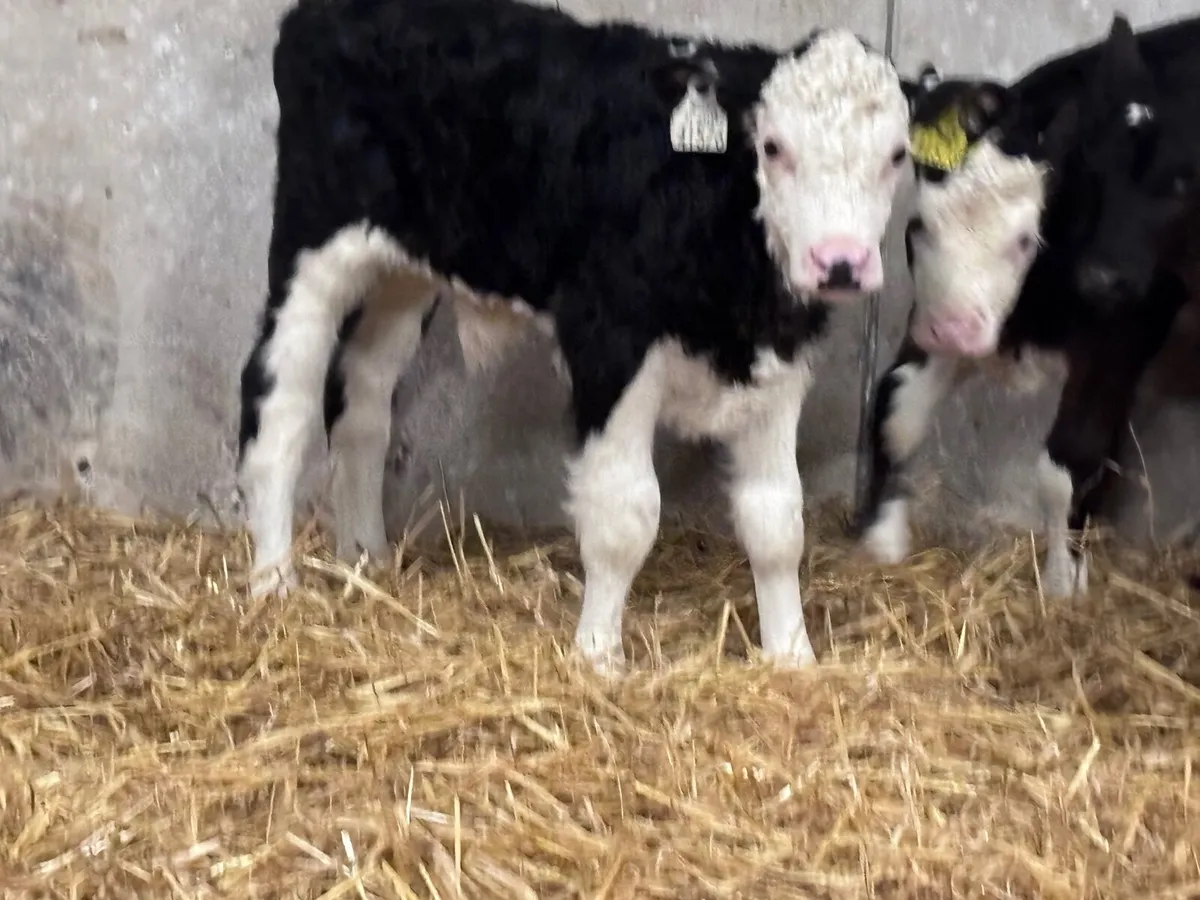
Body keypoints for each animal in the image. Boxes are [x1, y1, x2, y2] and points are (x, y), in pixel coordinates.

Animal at [235, 0, 917, 676]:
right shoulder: (610, 348)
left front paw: (792, 656)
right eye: (772, 147)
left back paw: (366, 561)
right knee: (280, 405)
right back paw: (275, 585)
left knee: (363, 405)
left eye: (897, 156)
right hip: (312, 245)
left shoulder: (777, 367)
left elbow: (777, 522)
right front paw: (599, 659)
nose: (840, 263)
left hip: (402, 275)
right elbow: (625, 516)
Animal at [853, 12, 1200, 598]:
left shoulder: (1119, 334)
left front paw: (1063, 583)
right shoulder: (935, 317)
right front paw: (881, 540)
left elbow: (1069, 459)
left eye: (1023, 241)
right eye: (918, 228)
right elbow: (897, 409)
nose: (955, 330)